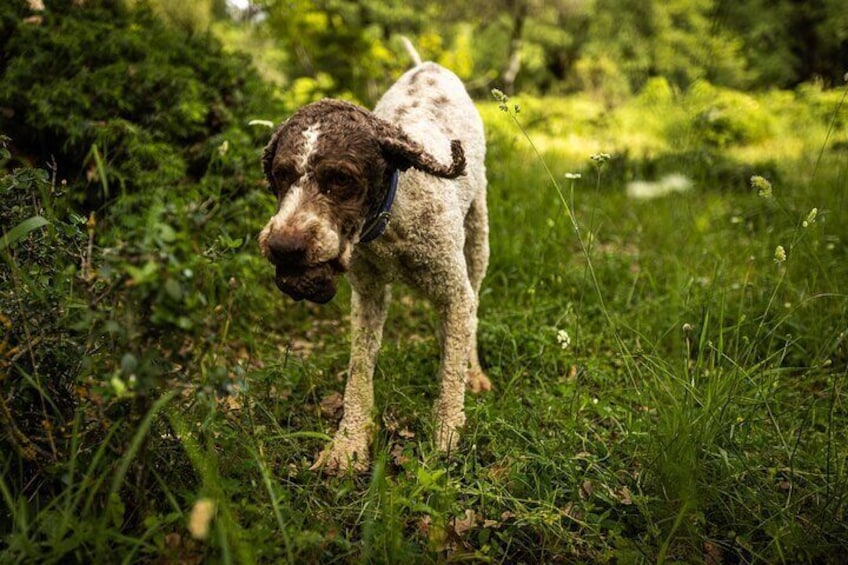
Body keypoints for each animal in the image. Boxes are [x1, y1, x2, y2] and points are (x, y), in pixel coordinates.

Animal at [256, 40, 490, 472]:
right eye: (280, 175)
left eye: (341, 179)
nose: (284, 247)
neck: (391, 218)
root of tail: (427, 66)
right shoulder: (367, 296)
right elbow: (359, 371)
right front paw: (348, 443)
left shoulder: (453, 290)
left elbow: (452, 368)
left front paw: (447, 431)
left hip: (478, 236)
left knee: (474, 306)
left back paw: (474, 370)